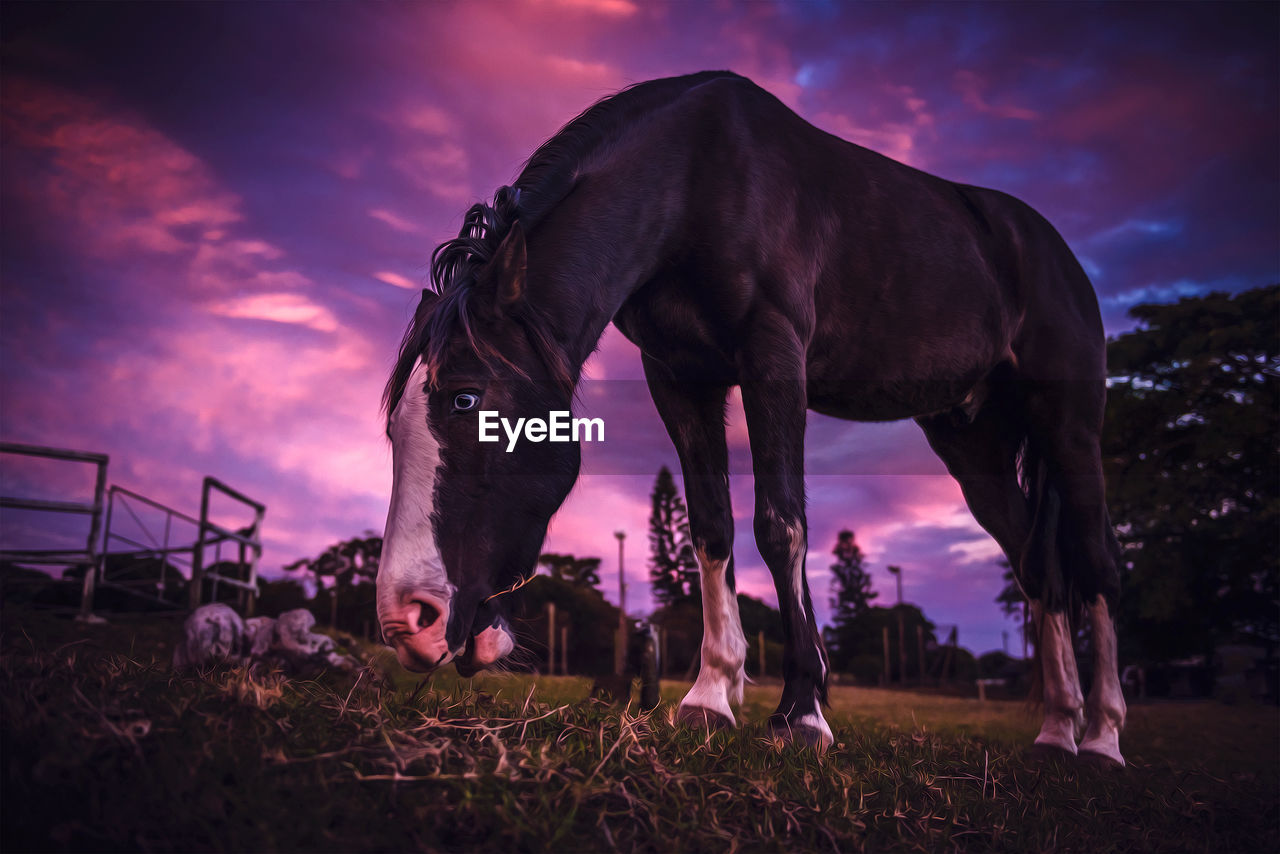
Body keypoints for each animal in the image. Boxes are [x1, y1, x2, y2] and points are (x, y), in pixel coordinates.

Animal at [378, 70, 1131, 763]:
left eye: (466, 398)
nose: (406, 620)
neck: (696, 179)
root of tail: (1051, 250)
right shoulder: (679, 376)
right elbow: (712, 526)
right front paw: (712, 696)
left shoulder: (774, 357)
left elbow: (780, 524)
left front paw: (802, 712)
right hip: (972, 444)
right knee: (1040, 571)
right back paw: (1056, 731)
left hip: (1069, 428)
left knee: (1095, 565)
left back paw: (1101, 738)